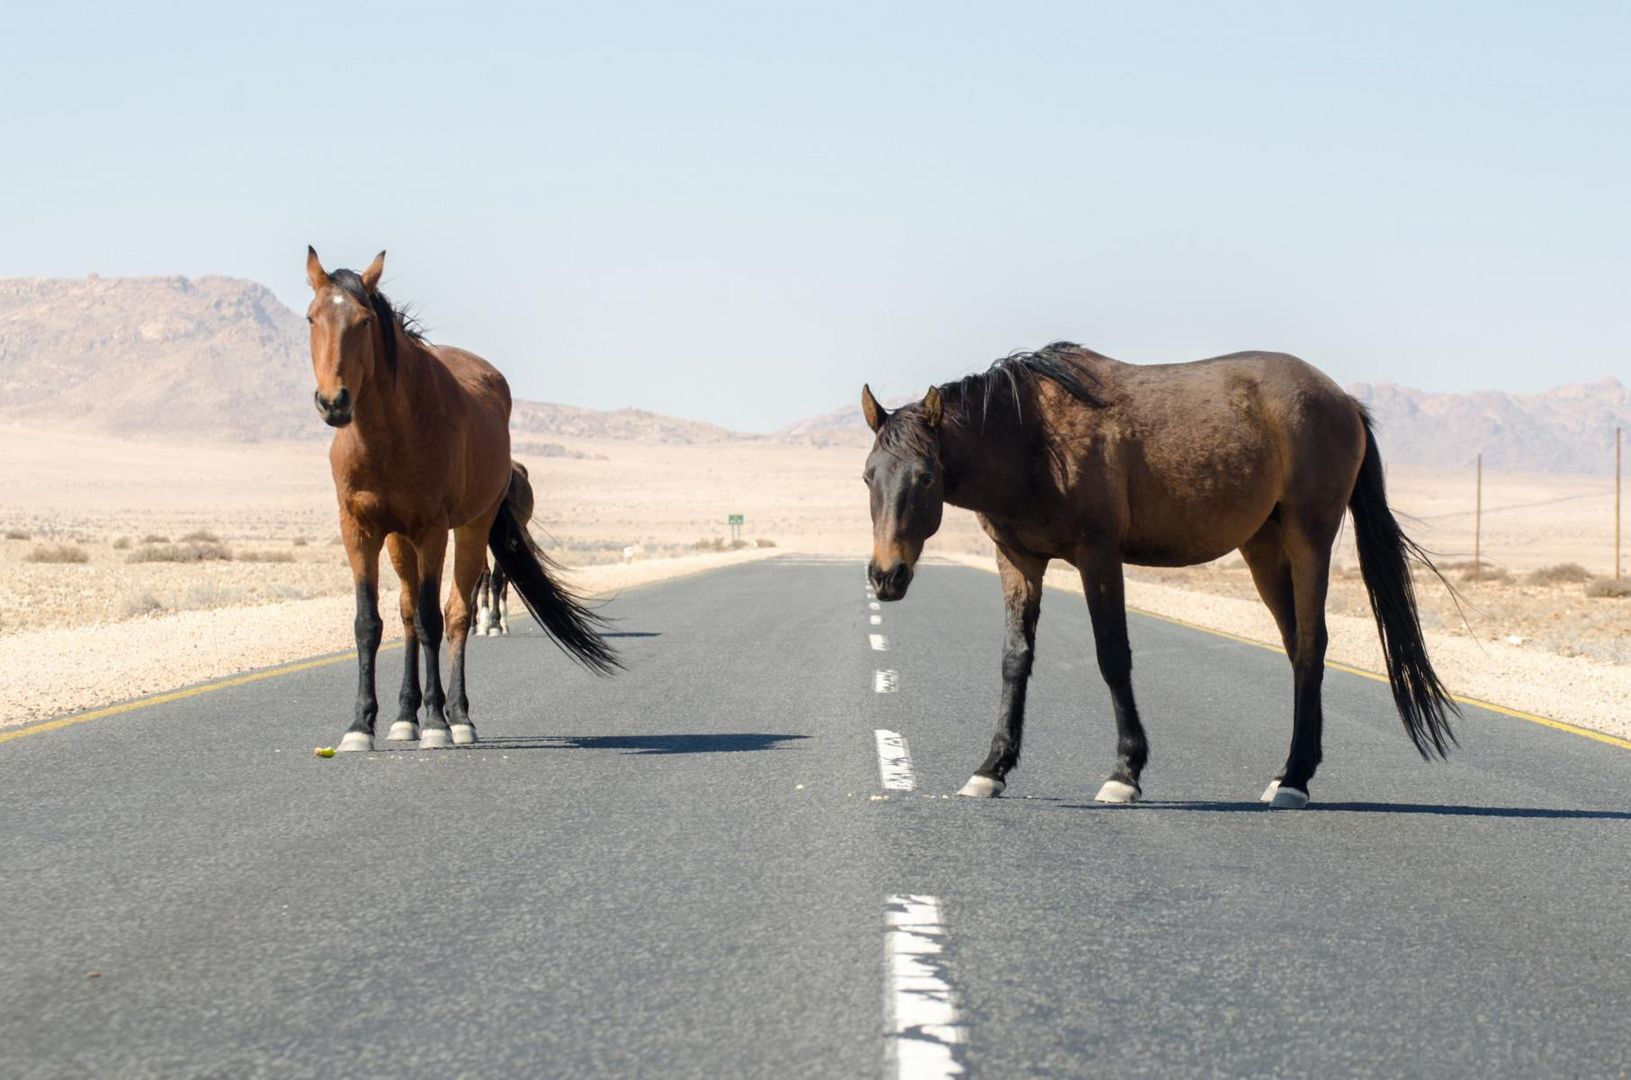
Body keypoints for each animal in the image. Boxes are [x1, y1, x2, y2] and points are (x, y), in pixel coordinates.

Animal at [303, 247, 613, 753]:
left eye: (364, 321)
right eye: (312, 317)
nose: (334, 402)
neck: (388, 435)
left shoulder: (432, 530)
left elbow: (435, 618)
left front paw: (436, 722)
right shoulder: (360, 531)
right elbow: (370, 623)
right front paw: (360, 725)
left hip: (471, 528)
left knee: (455, 615)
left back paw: (457, 716)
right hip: (399, 541)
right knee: (408, 614)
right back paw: (404, 715)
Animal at [861, 342, 1461, 809]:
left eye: (926, 475)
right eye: (869, 475)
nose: (887, 575)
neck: (1033, 436)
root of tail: (1344, 401)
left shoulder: (1098, 557)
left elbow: (1112, 656)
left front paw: (1125, 774)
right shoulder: (1018, 559)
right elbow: (1015, 661)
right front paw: (991, 769)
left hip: (1308, 538)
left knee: (1312, 645)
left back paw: (1294, 781)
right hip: (1263, 548)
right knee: (1297, 649)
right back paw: (1291, 773)